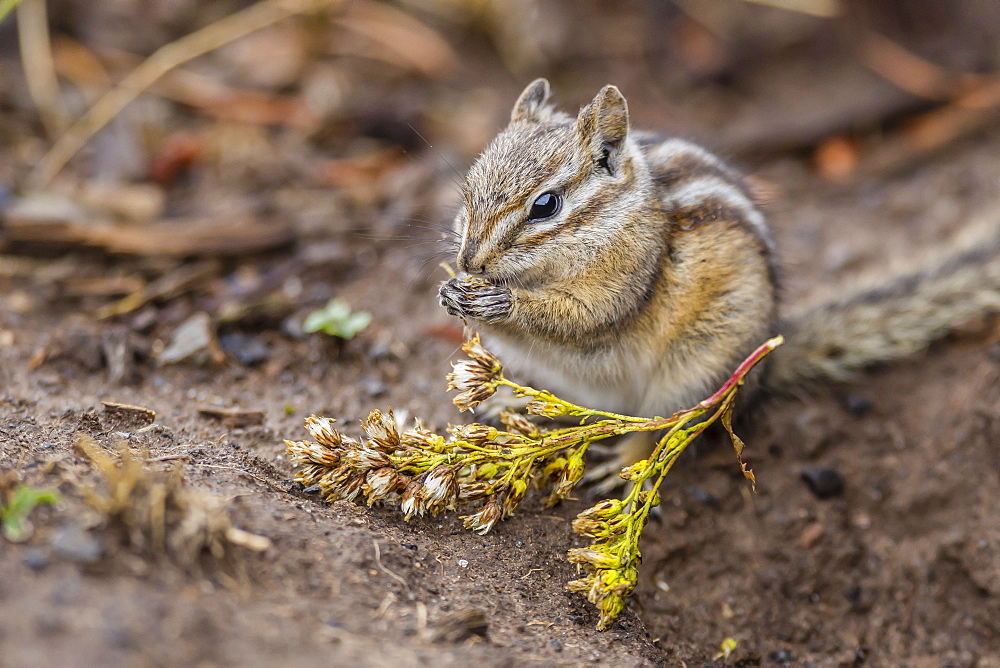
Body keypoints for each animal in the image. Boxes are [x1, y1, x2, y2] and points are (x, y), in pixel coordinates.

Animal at [440, 81, 1000, 448]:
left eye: (546, 205)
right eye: (467, 190)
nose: (469, 259)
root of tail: (766, 366)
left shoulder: (624, 281)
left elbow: (581, 319)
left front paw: (501, 301)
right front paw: (451, 292)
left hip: (697, 372)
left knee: (662, 427)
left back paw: (625, 456)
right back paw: (518, 403)